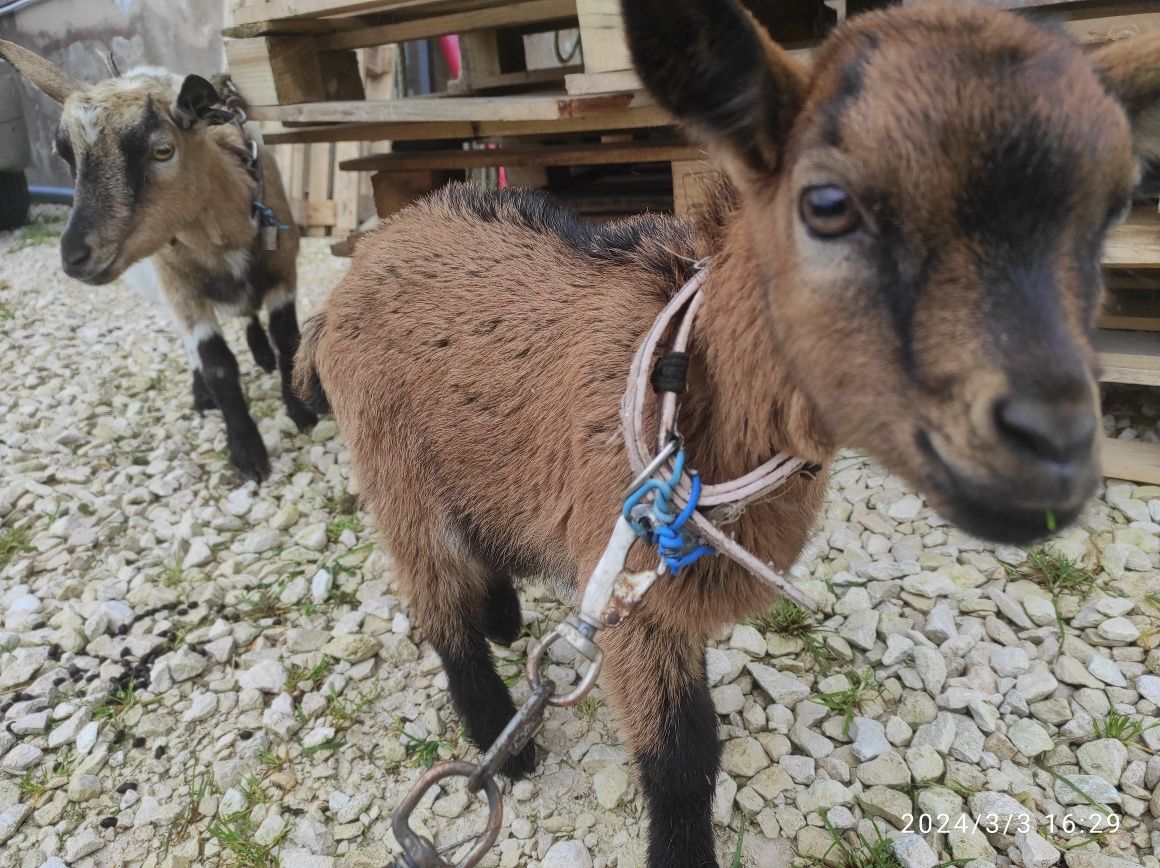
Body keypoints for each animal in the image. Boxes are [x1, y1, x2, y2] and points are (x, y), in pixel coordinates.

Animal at [0, 42, 317, 480]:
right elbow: (218, 365)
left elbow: (287, 337)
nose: (74, 257)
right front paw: (247, 452)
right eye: (67, 158)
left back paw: (262, 355)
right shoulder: (181, 292)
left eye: (163, 150)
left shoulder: (284, 271)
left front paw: (302, 411)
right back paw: (204, 393)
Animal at [296, 3, 1160, 863]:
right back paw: (500, 731)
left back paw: (505, 617)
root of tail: (353, 274)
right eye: (827, 203)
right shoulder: (631, 588)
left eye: (1114, 207)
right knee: (437, 597)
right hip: (391, 461)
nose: (1057, 446)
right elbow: (681, 757)